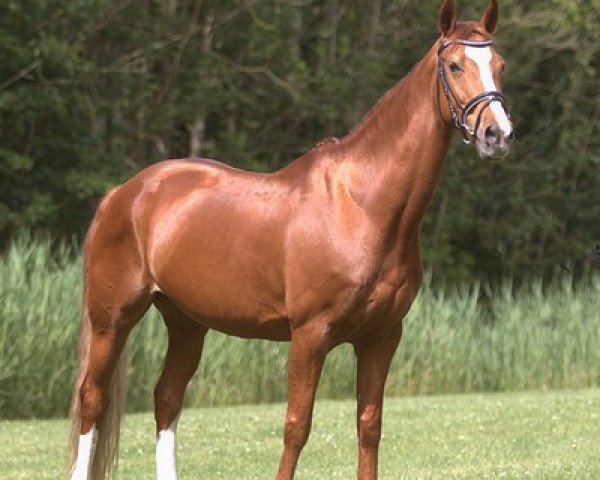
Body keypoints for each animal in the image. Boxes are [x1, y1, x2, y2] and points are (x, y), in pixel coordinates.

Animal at [68, 1, 512, 478]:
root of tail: (124, 193)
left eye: (500, 65)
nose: (498, 134)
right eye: (454, 65)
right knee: (92, 399)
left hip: (185, 320)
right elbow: (297, 426)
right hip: (112, 319)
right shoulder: (309, 335)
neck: (362, 206)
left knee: (166, 398)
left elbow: (369, 426)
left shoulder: (381, 337)